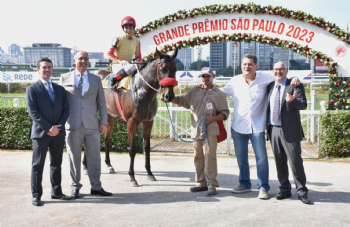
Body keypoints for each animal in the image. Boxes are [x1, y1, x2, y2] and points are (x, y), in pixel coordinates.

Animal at [82, 47, 178, 186]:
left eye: (175, 69)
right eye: (162, 68)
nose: (169, 96)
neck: (141, 89)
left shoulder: (148, 122)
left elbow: (147, 148)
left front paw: (150, 173)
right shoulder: (132, 122)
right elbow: (132, 150)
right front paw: (132, 177)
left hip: (109, 116)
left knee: (106, 139)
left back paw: (109, 165)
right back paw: (85, 167)